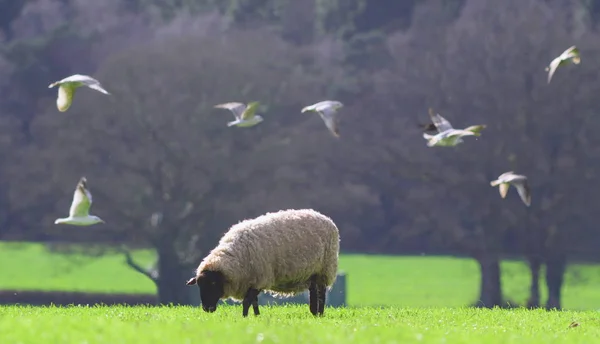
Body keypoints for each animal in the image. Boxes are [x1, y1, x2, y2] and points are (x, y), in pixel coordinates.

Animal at [185, 207, 340, 318]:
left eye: (213, 283)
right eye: (199, 285)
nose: (207, 309)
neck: (237, 257)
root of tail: (326, 218)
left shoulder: (260, 278)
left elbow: (247, 301)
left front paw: (245, 317)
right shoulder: (252, 280)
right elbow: (254, 302)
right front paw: (256, 317)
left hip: (324, 268)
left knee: (321, 293)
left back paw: (320, 313)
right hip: (311, 272)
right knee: (313, 291)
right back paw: (314, 312)